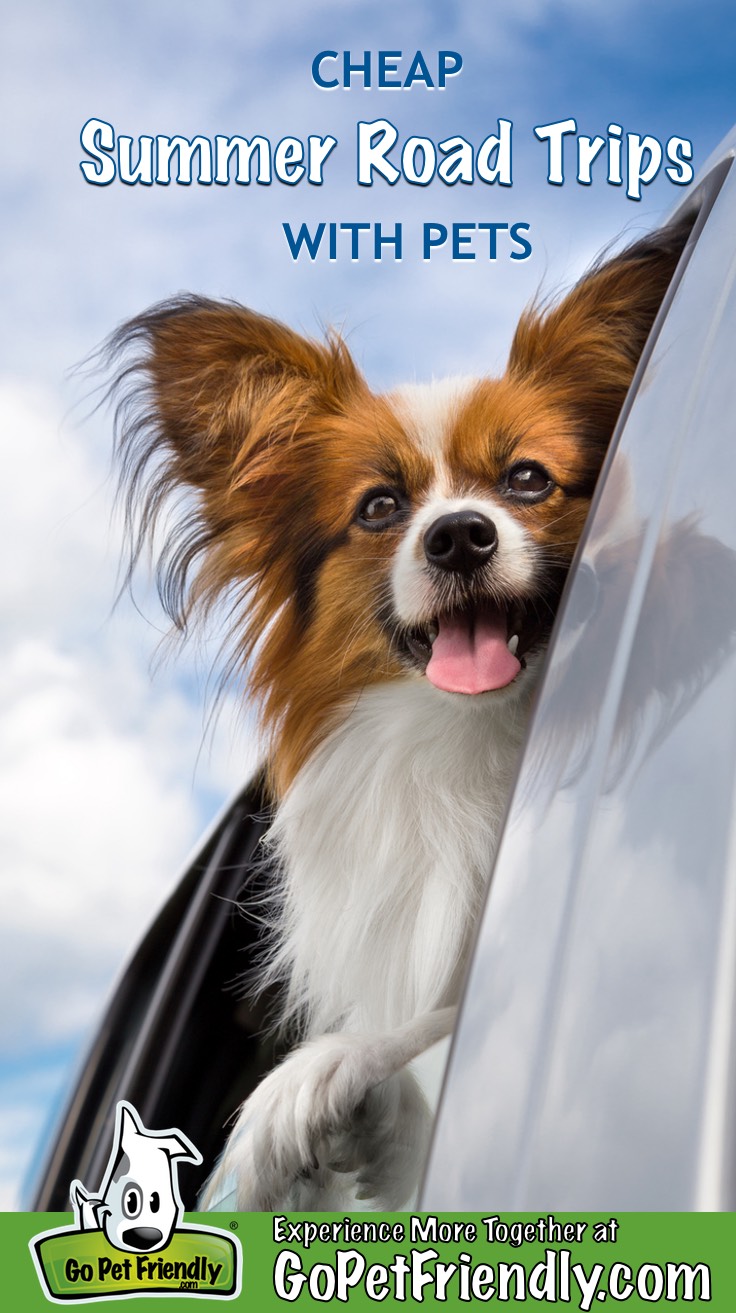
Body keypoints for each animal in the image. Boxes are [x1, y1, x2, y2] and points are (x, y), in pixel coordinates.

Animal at [106, 210, 692, 1202]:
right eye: (380, 507)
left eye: (529, 480)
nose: (458, 536)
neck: (471, 732)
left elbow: (440, 1021)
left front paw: (312, 1076)